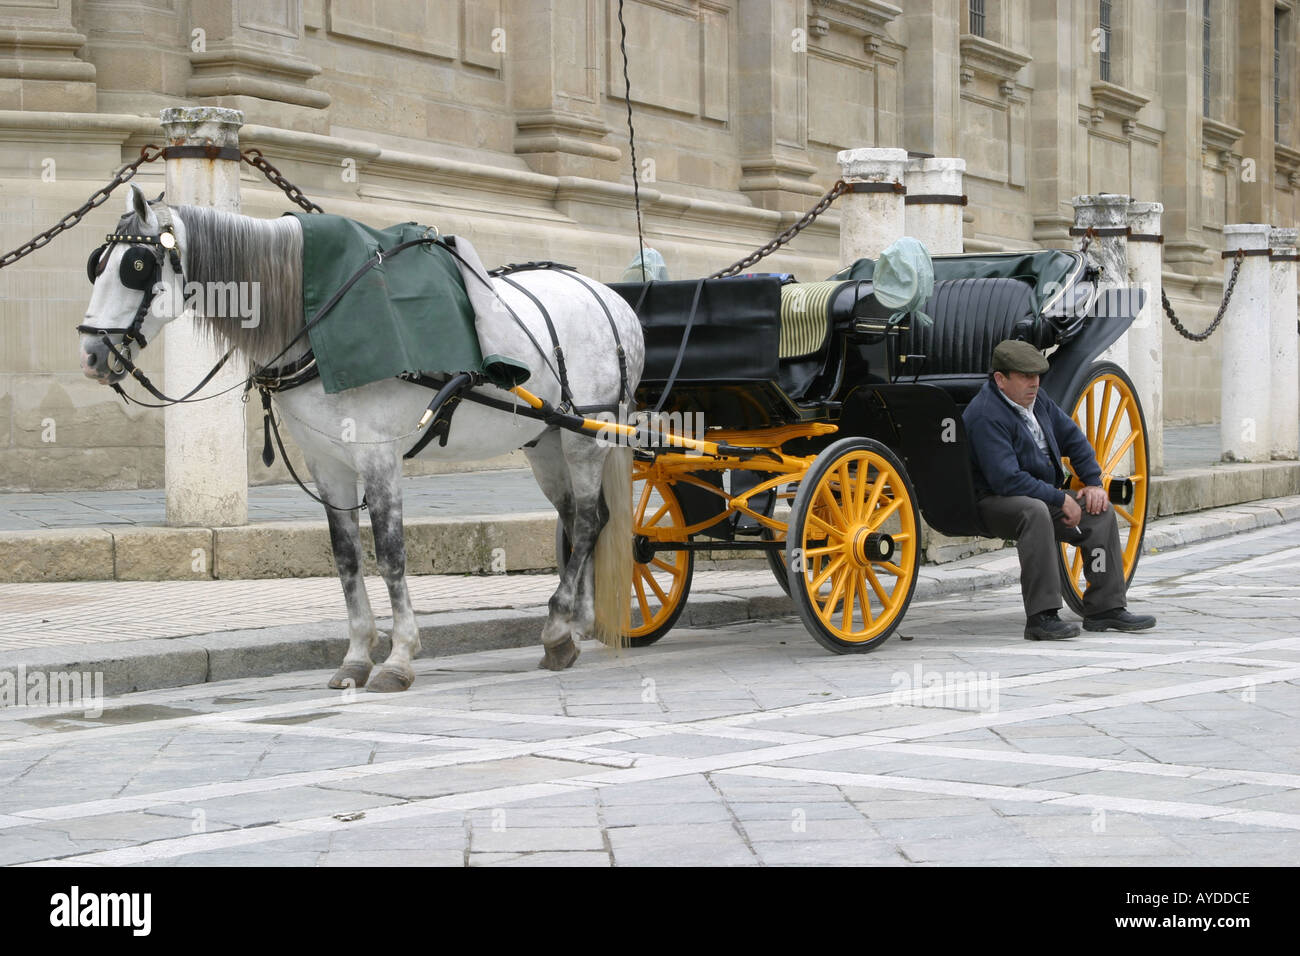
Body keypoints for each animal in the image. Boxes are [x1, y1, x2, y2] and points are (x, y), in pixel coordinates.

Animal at [79, 184, 639, 686]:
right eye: (96, 264)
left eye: (136, 267)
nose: (90, 356)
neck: (319, 318)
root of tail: (610, 298)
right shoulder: (327, 462)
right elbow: (346, 556)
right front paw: (356, 656)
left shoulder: (377, 457)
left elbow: (390, 553)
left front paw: (399, 657)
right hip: (546, 441)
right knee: (581, 520)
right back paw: (573, 626)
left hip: (587, 436)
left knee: (587, 521)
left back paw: (559, 625)